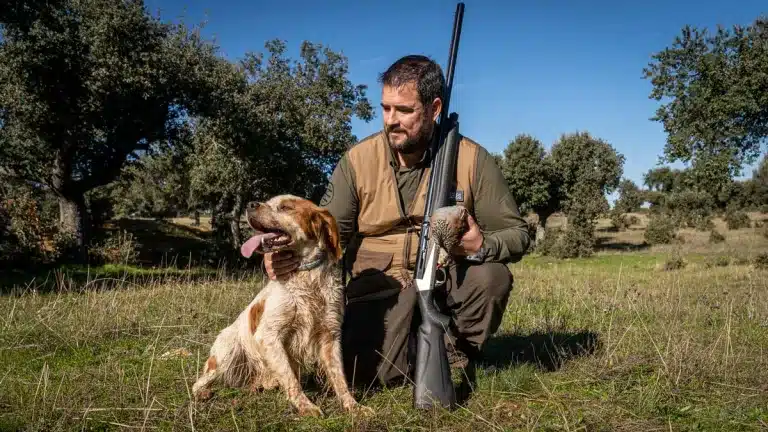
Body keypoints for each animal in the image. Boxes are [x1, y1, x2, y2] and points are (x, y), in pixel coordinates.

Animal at [192, 194, 372, 416]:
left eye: (286, 207)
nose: (250, 204)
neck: (307, 277)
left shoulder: (330, 336)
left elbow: (339, 378)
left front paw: (353, 406)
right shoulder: (269, 336)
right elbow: (291, 379)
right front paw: (306, 407)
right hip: (225, 353)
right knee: (200, 380)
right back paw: (202, 392)